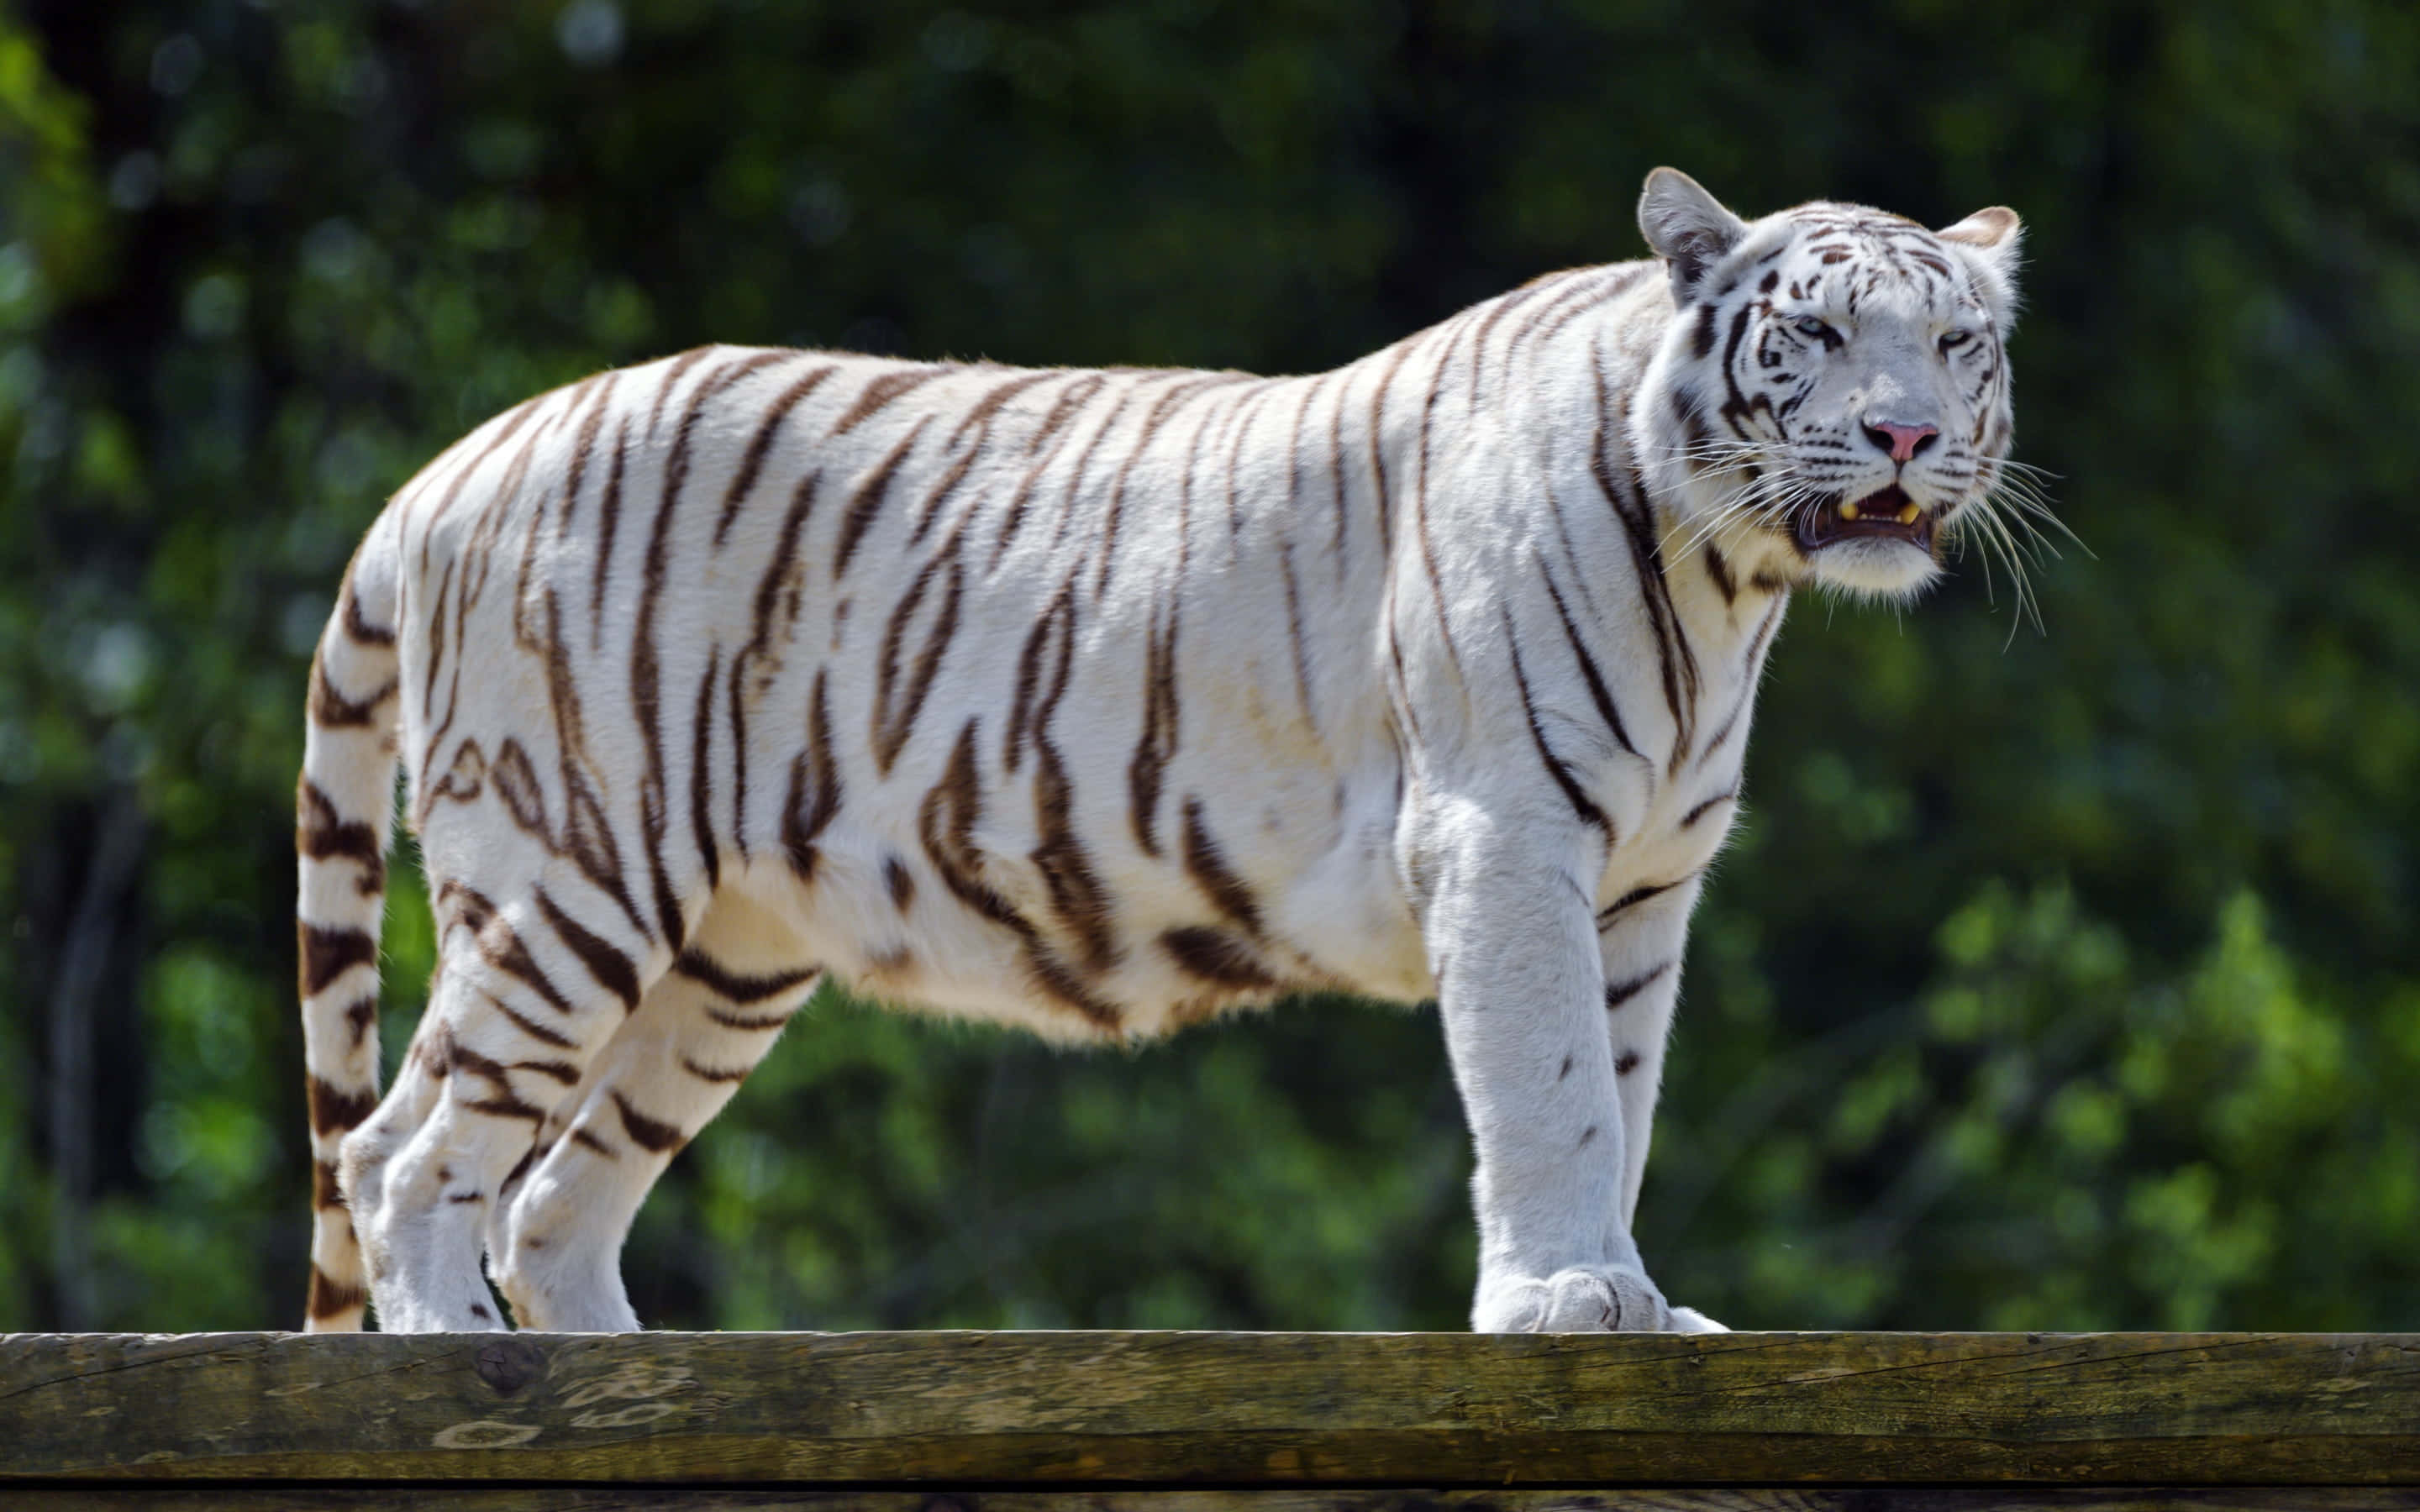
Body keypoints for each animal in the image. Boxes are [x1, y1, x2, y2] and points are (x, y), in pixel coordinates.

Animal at [296, 168, 2024, 1334]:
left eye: (1955, 344)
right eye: (1815, 334)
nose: (1908, 437)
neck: (1724, 579)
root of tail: (453, 463)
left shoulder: (1645, 882)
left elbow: (1624, 1086)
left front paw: (1633, 1303)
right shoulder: (1509, 835)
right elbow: (1549, 1089)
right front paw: (1568, 1299)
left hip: (727, 952)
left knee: (552, 1201)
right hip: (574, 874)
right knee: (402, 1155)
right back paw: (465, 1375)